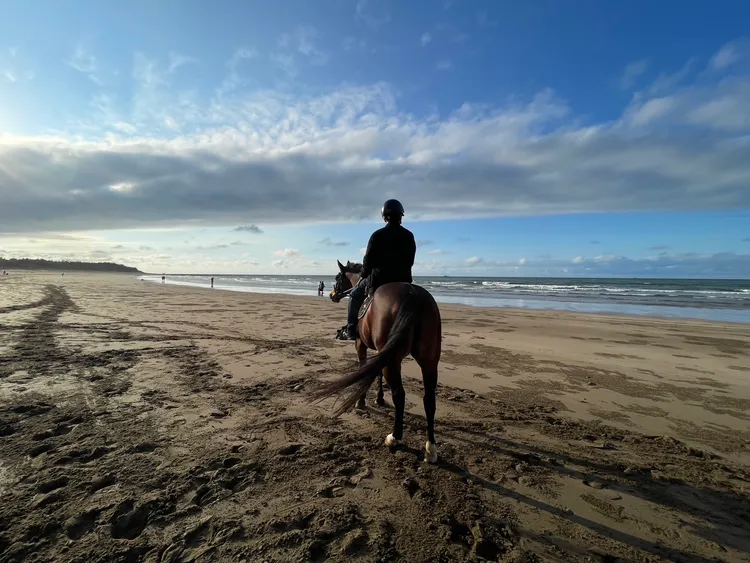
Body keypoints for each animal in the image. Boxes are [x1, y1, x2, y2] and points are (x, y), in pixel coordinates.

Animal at [309, 259, 442, 464]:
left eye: (338, 277)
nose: (331, 295)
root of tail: (414, 296)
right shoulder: (382, 352)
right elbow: (377, 373)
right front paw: (379, 398)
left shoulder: (360, 345)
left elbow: (365, 368)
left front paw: (361, 401)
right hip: (428, 360)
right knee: (429, 399)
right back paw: (431, 448)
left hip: (394, 359)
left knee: (399, 394)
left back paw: (394, 437)